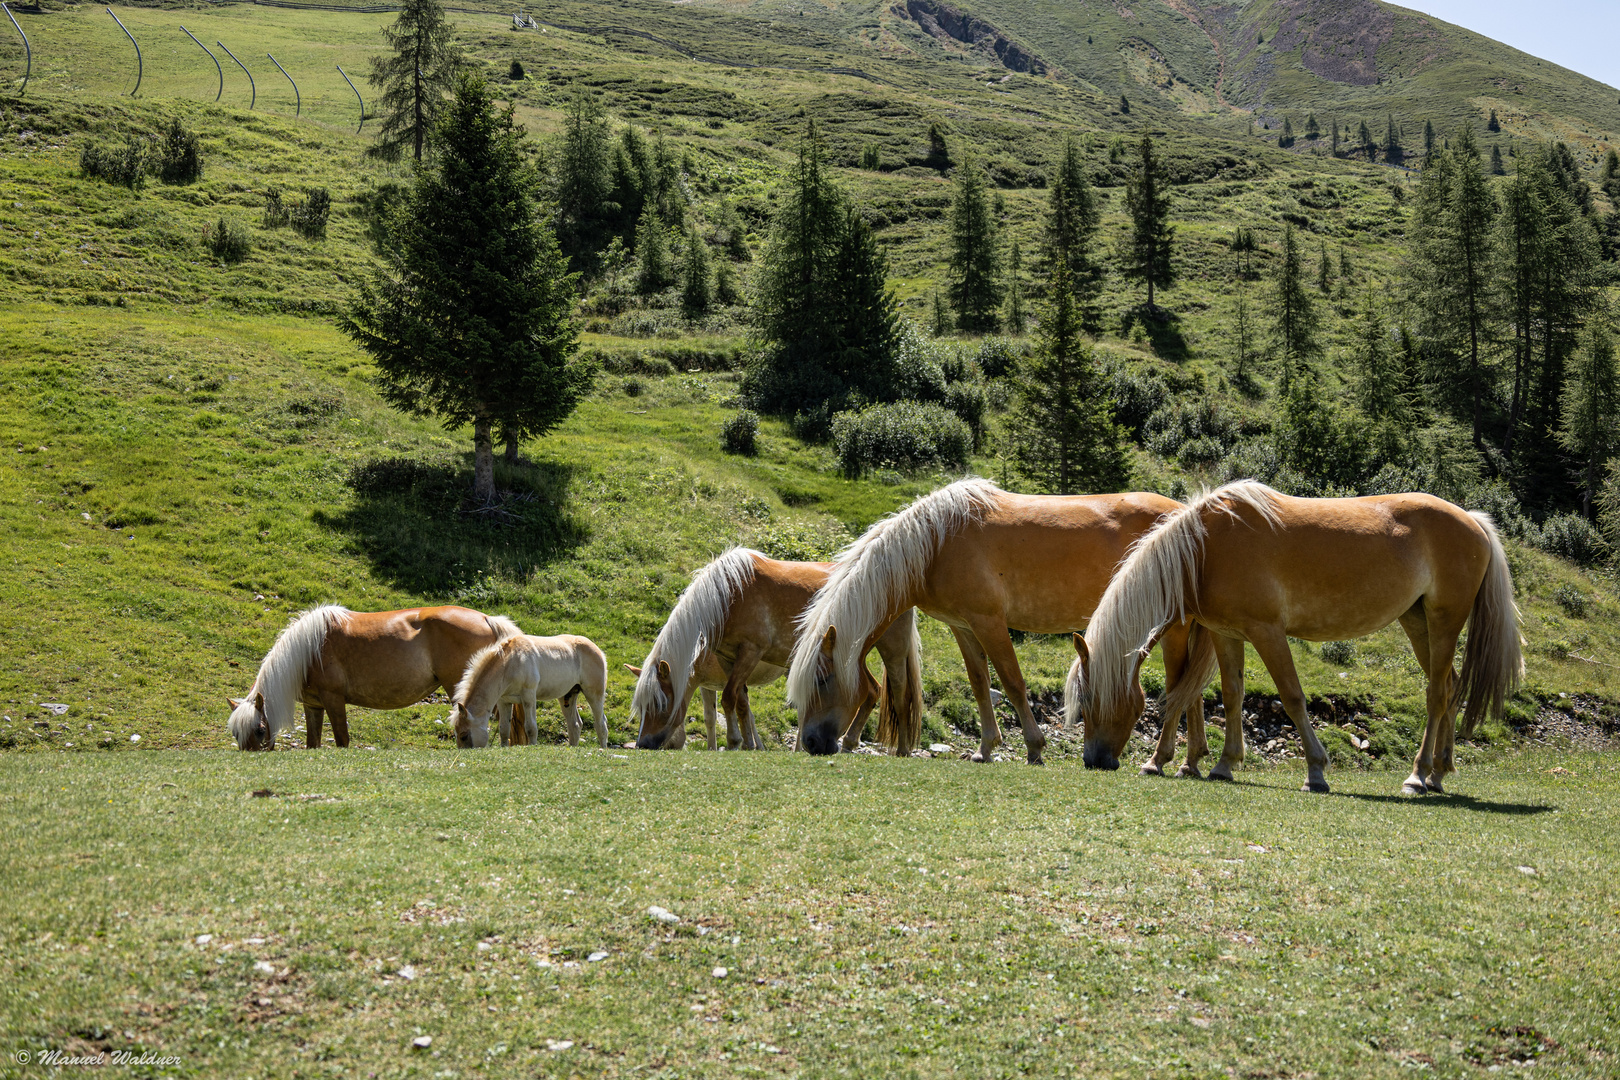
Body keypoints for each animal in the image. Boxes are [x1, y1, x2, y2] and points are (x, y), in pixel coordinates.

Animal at [225, 608, 518, 751]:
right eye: (235, 733)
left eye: (260, 729)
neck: (308, 650)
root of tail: (486, 617)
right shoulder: (314, 705)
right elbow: (312, 743)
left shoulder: (334, 701)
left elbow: (342, 740)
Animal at [450, 634, 612, 751]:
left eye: (464, 735)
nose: (462, 752)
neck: (510, 662)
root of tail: (599, 651)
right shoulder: (504, 701)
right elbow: (504, 729)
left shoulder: (528, 696)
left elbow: (530, 727)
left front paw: (532, 746)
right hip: (567, 696)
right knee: (575, 725)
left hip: (594, 694)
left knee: (601, 723)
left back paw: (603, 749)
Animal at [625, 550, 926, 751]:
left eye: (659, 704)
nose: (642, 744)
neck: (728, 595)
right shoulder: (730, 659)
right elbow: (741, 702)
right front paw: (747, 744)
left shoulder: (750, 652)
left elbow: (729, 698)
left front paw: (734, 742)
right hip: (849, 655)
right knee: (871, 690)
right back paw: (849, 742)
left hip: (891, 648)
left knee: (900, 694)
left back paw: (901, 750)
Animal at [784, 476, 1205, 764]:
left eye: (822, 679)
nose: (811, 742)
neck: (936, 543)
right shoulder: (963, 626)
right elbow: (980, 684)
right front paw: (986, 748)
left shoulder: (989, 622)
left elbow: (1013, 683)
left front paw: (1035, 747)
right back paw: (1192, 762)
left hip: (1176, 626)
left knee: (1179, 685)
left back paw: (1162, 759)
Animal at [1069, 482, 1522, 793]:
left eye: (1089, 700)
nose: (1093, 760)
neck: (1206, 550)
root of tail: (1472, 520)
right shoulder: (1226, 634)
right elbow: (1231, 696)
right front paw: (1222, 764)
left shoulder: (1267, 633)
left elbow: (1291, 697)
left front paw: (1316, 771)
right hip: (1418, 621)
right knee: (1450, 687)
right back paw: (1438, 774)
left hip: (1445, 620)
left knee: (1436, 694)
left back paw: (1416, 776)